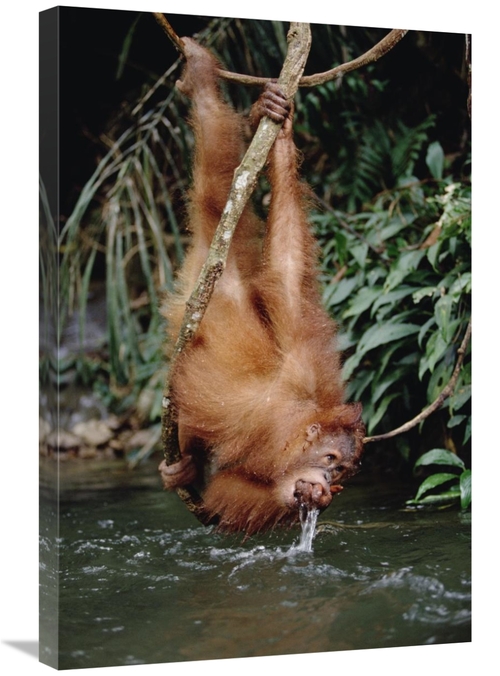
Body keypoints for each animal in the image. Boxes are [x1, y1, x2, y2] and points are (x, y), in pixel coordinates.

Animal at [159, 38, 365, 535]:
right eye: (330, 459)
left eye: (342, 472)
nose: (327, 481)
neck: (291, 425)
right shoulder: (301, 367)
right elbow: (287, 270)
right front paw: (283, 137)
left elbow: (228, 491)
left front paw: (310, 499)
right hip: (217, 266)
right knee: (217, 181)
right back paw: (205, 85)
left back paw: (183, 468)